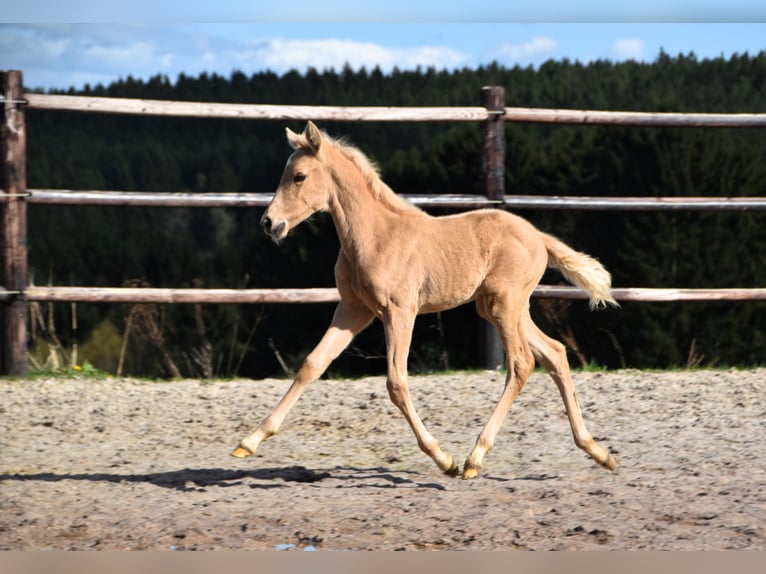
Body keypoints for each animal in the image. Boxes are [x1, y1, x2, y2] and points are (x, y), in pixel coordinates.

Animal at [232, 122, 616, 482]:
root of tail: (537, 236)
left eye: (299, 176)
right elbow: (312, 365)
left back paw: (474, 458)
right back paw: (596, 450)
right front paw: (248, 442)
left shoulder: (399, 311)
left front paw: (443, 458)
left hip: (503, 305)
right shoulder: (354, 310)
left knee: (522, 363)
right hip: (502, 307)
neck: (374, 236)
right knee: (555, 353)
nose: (269, 223)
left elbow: (396, 382)